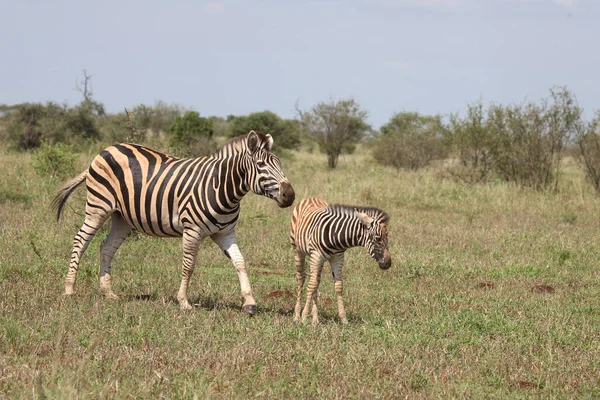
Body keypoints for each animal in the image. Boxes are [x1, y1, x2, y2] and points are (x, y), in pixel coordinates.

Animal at [53, 130, 296, 314]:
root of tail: (105, 150)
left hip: (121, 217)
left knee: (107, 247)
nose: (290, 195)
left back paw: (108, 292)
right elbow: (189, 266)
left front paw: (250, 302)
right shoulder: (192, 230)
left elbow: (240, 262)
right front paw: (184, 302)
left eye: (279, 164)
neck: (222, 187)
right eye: (261, 165)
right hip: (98, 206)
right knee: (80, 240)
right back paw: (69, 290)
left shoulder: (225, 233)